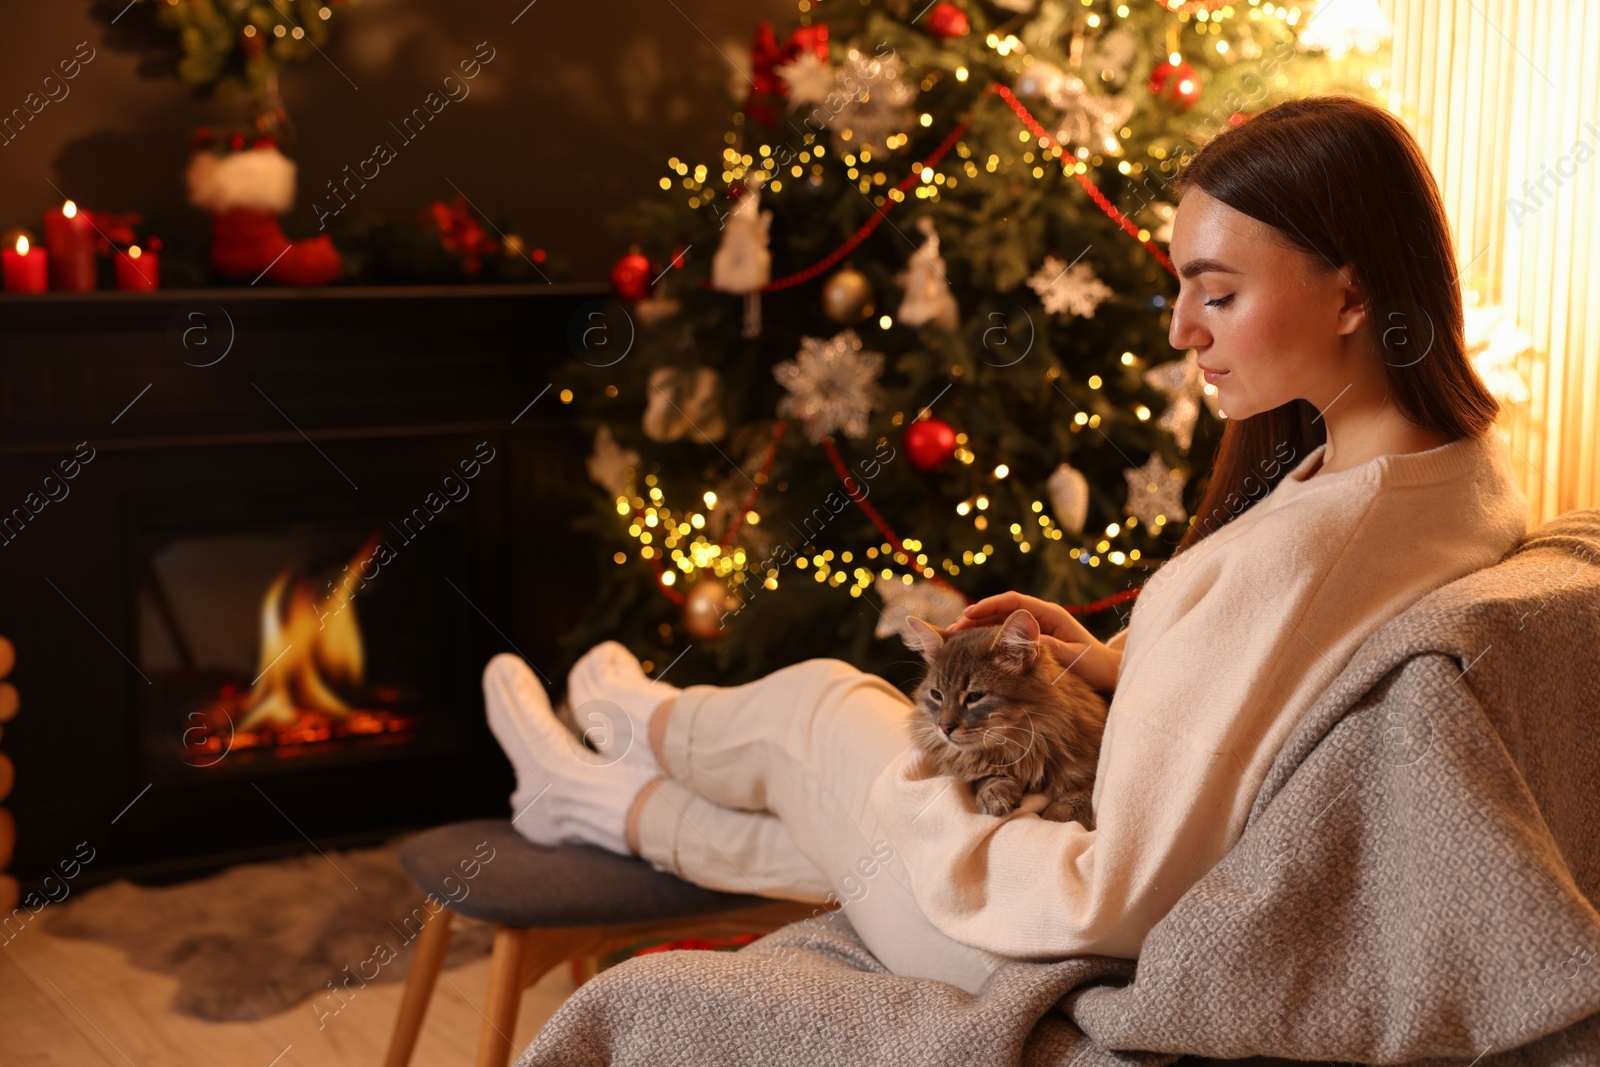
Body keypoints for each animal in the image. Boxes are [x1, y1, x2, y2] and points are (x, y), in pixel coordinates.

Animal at [908, 607, 1107, 825]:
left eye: (975, 696)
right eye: (936, 695)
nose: (944, 727)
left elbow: (1078, 796)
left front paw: (1057, 816)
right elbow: (985, 775)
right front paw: (995, 793)